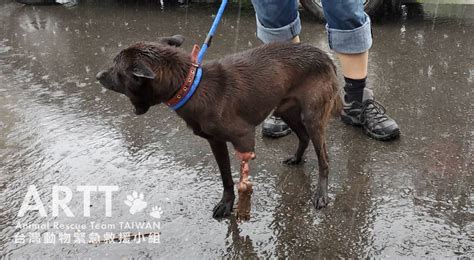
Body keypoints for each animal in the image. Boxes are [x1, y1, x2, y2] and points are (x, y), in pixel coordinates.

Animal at [96, 35, 340, 218]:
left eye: (116, 68)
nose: (98, 75)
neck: (192, 86)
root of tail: (325, 56)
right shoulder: (216, 142)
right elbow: (225, 176)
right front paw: (227, 203)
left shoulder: (244, 139)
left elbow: (243, 181)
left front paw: (242, 208)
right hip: (285, 110)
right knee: (303, 137)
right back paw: (297, 158)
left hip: (313, 117)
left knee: (324, 158)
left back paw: (321, 194)